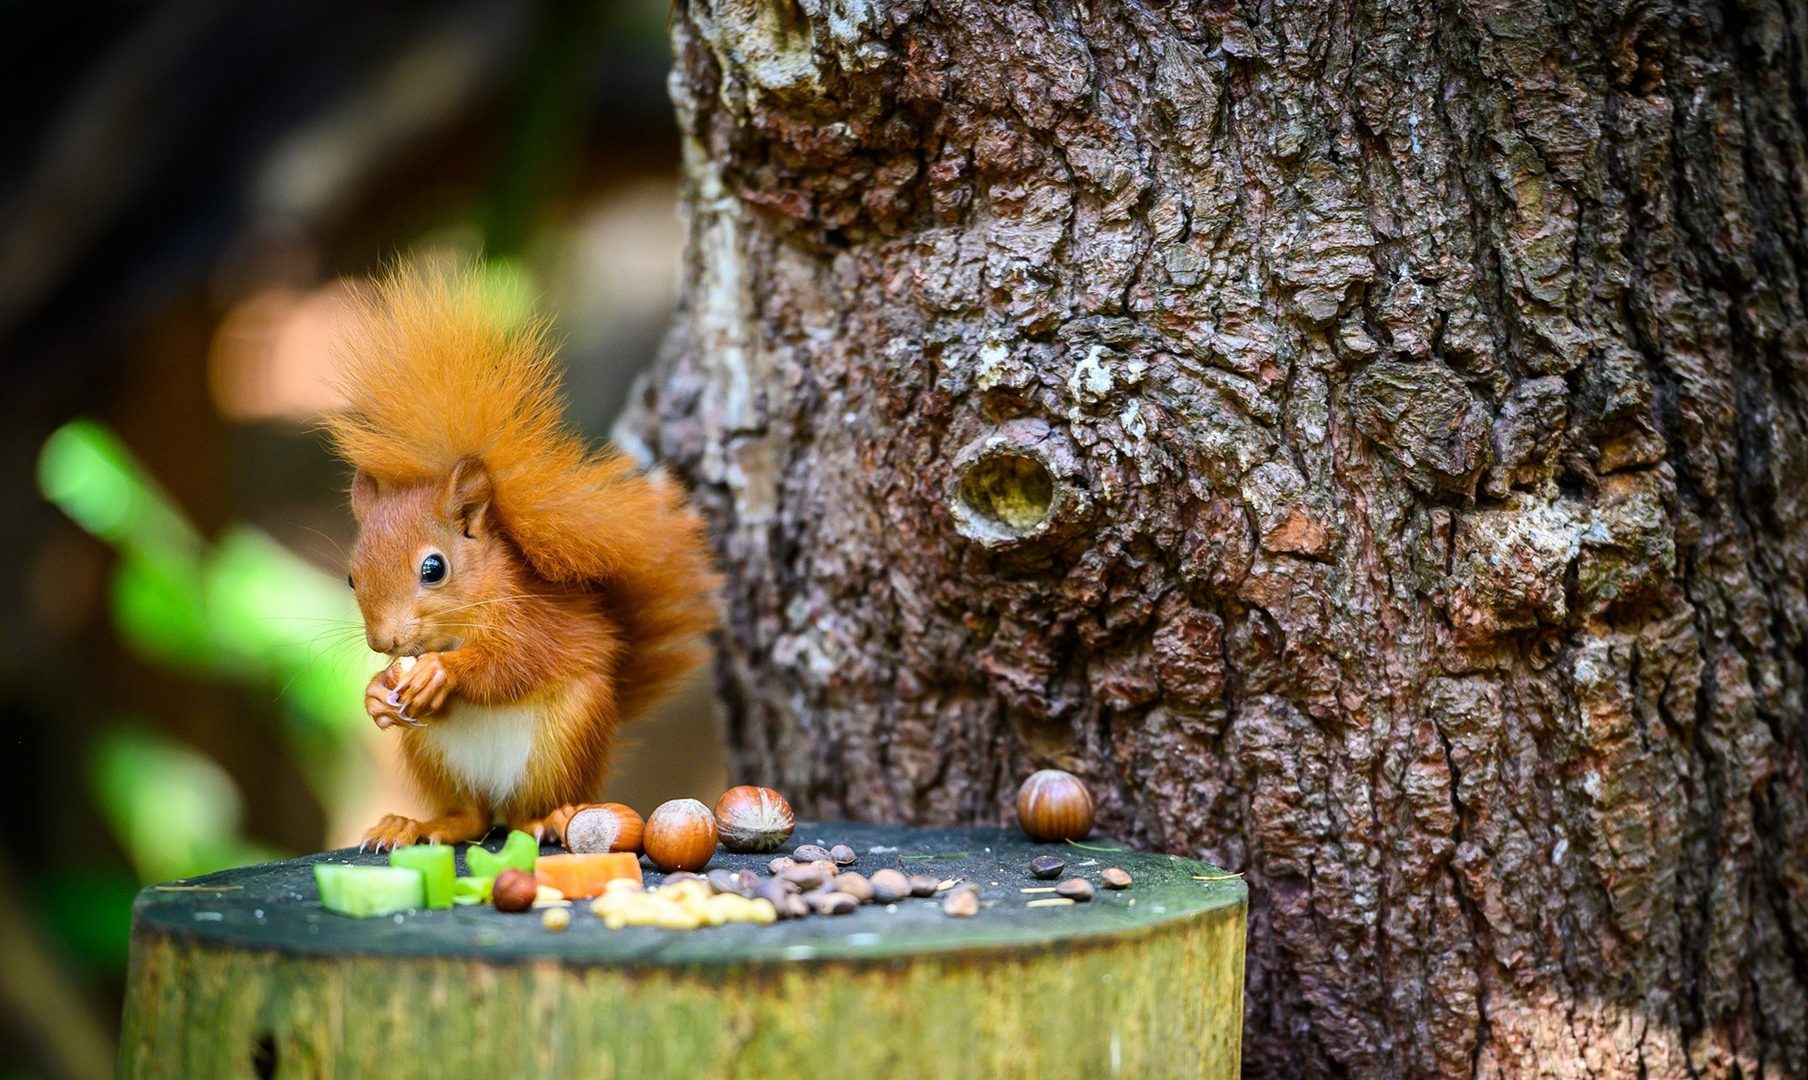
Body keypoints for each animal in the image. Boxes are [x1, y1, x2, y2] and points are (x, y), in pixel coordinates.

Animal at [323, 264, 719, 851]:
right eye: (352, 578)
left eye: (434, 568)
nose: (384, 642)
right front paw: (375, 693)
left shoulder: (531, 619)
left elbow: (511, 665)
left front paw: (441, 672)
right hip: (434, 755)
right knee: (472, 817)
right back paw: (415, 824)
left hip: (567, 734)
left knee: (524, 812)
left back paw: (548, 819)